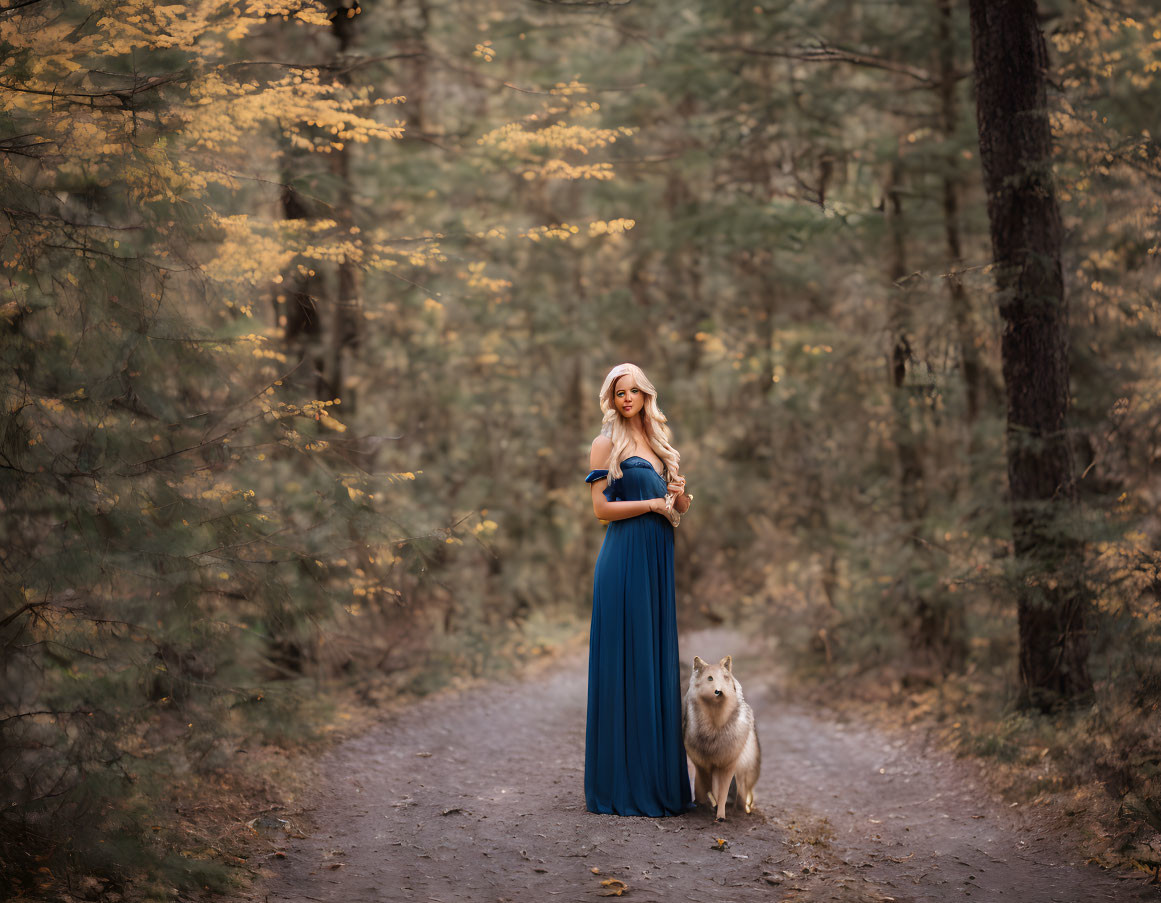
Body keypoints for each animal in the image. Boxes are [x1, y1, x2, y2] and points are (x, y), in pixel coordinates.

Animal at [678, 649, 761, 821]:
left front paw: (720, 815)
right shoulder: (702, 764)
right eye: (710, 678)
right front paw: (703, 805)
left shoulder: (726, 764)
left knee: (744, 793)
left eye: (724, 678)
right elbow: (704, 787)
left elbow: (720, 791)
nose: (719, 691)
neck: (713, 728)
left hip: (744, 773)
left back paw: (743, 810)